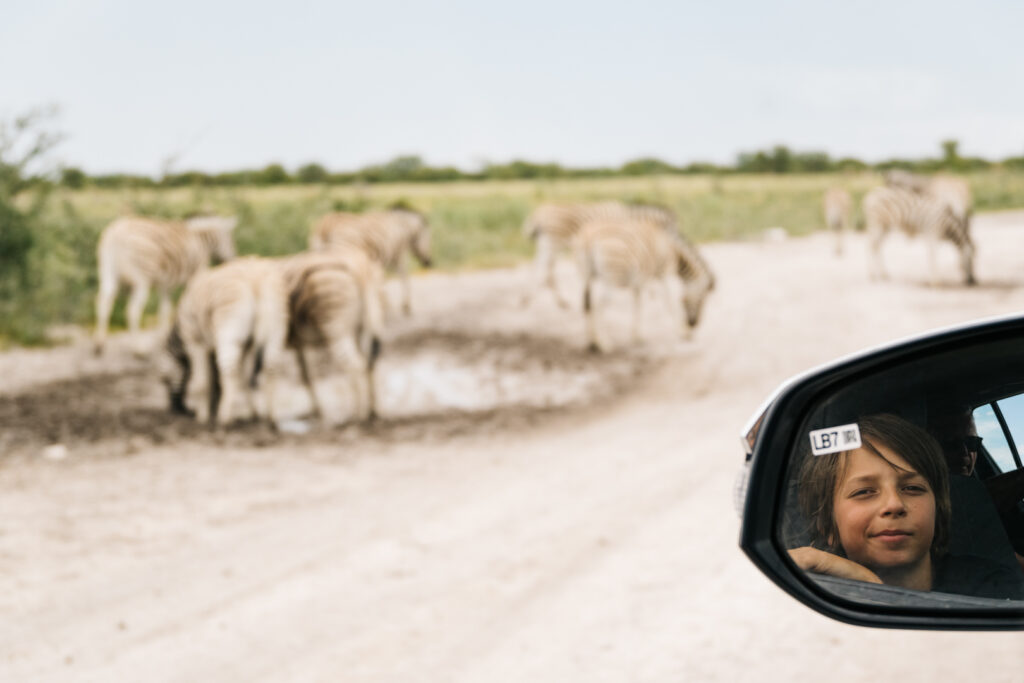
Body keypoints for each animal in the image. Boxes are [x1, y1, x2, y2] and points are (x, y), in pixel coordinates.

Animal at [95, 215, 236, 356]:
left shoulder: (166, 285)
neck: (201, 240)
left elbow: (164, 310)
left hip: (108, 274)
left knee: (104, 304)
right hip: (141, 281)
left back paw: (100, 345)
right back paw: (138, 349)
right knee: (133, 310)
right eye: (229, 239)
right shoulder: (197, 273)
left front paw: (162, 339)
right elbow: (186, 303)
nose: (231, 258)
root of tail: (115, 234)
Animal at [162, 255, 288, 428]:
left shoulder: (195, 343)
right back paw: (271, 417)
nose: (177, 410)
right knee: (270, 367)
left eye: (164, 381)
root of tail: (256, 281)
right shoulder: (246, 344)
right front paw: (254, 413)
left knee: (230, 370)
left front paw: (202, 416)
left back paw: (225, 418)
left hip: (229, 331)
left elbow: (203, 383)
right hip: (275, 328)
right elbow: (239, 377)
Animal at [278, 248, 385, 423]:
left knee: (355, 366)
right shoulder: (297, 345)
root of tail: (359, 268)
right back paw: (372, 410)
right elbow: (305, 375)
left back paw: (359, 415)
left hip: (336, 328)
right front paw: (316, 410)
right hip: (361, 328)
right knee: (369, 361)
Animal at [524, 200, 684, 307]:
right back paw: (545, 300)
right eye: (674, 232)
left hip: (546, 244)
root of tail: (538, 214)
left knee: (538, 265)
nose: (676, 254)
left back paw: (532, 299)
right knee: (542, 266)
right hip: (552, 243)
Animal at [573, 214, 716, 352]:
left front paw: (637, 335)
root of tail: (589, 238)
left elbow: (638, 303)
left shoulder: (640, 280)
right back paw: (603, 343)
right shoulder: (663, 275)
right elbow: (669, 302)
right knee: (598, 305)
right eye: (703, 300)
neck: (673, 250)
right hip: (612, 279)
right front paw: (683, 332)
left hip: (586, 276)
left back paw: (591, 342)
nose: (694, 324)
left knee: (587, 305)